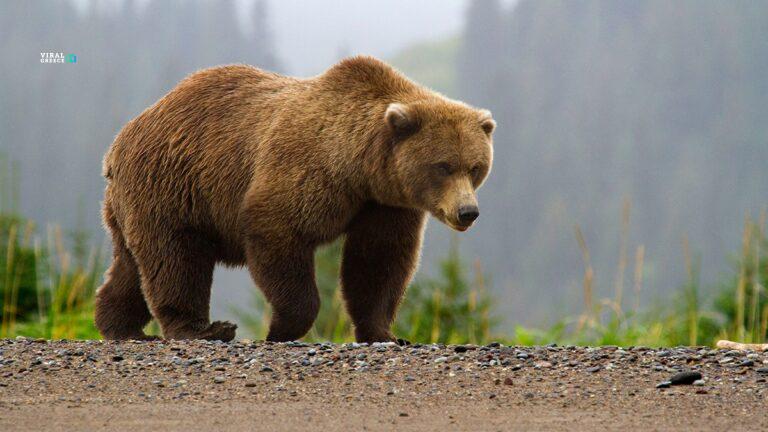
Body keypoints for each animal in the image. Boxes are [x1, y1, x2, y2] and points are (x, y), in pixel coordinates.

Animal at [94, 56, 495, 343]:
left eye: (476, 167)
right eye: (443, 166)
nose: (468, 212)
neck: (359, 168)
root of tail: (119, 141)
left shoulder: (385, 204)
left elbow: (378, 261)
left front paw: (385, 333)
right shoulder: (306, 170)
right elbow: (278, 231)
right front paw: (280, 328)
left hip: (136, 201)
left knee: (131, 265)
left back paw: (120, 326)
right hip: (173, 186)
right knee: (176, 258)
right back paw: (202, 329)